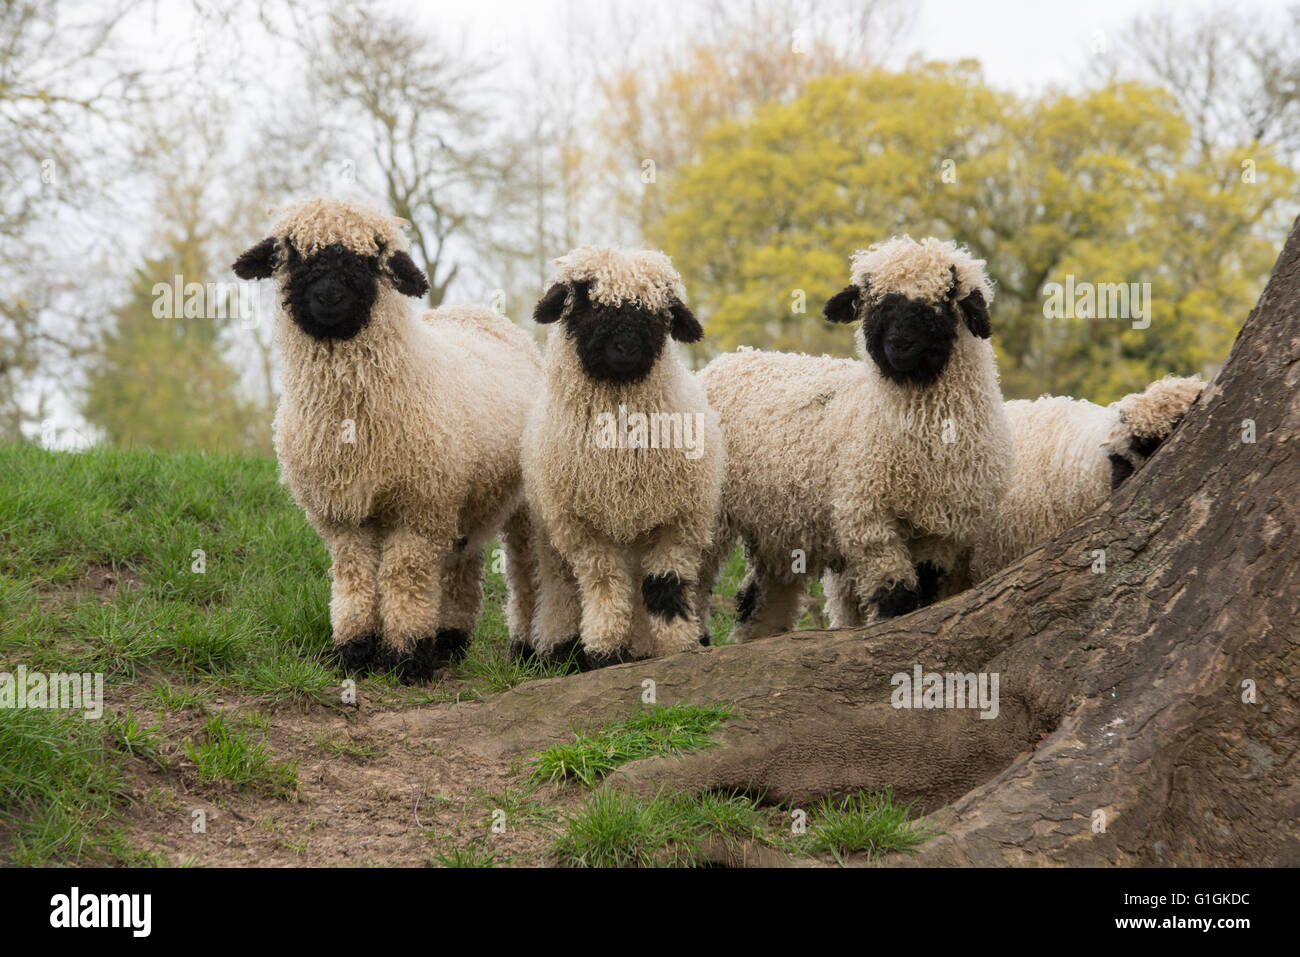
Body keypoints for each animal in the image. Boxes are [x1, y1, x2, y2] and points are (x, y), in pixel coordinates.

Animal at [233, 197, 543, 686]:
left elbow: (404, 578)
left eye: (370, 258)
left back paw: (526, 647)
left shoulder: (418, 508)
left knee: (526, 570)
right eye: (294, 252)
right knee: (463, 564)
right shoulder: (341, 514)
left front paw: (407, 659)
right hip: (464, 496)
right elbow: (355, 579)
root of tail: (481, 313)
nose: (328, 296)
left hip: (519, 501)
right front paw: (354, 652)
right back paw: (450, 641)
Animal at [520, 243, 728, 670]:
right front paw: (603, 650)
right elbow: (604, 585)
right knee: (561, 588)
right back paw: (560, 647)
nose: (625, 347)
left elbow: (665, 586)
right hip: (551, 536)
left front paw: (678, 646)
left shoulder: (678, 520)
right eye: (586, 300)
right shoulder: (585, 526)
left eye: (658, 310)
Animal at [702, 237, 1013, 642]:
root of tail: (727, 361)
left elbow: (925, 591)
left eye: (944, 300)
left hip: (778, 523)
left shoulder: (945, 528)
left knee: (763, 597)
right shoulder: (866, 515)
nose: (899, 344)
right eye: (875, 303)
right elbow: (896, 594)